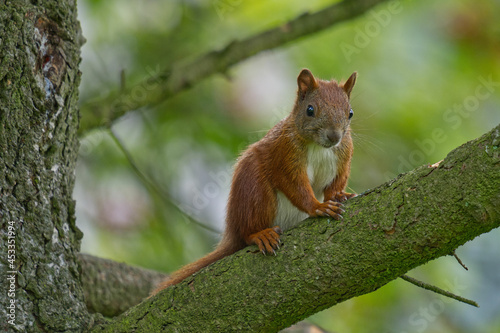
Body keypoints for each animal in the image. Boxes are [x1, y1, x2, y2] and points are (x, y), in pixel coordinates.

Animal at [152, 68, 356, 294]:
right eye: (310, 110)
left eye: (350, 113)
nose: (334, 136)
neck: (319, 147)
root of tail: (233, 228)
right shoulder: (284, 154)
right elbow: (294, 185)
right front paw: (318, 206)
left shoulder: (343, 155)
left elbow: (337, 181)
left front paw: (340, 195)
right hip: (256, 192)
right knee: (247, 233)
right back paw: (260, 235)